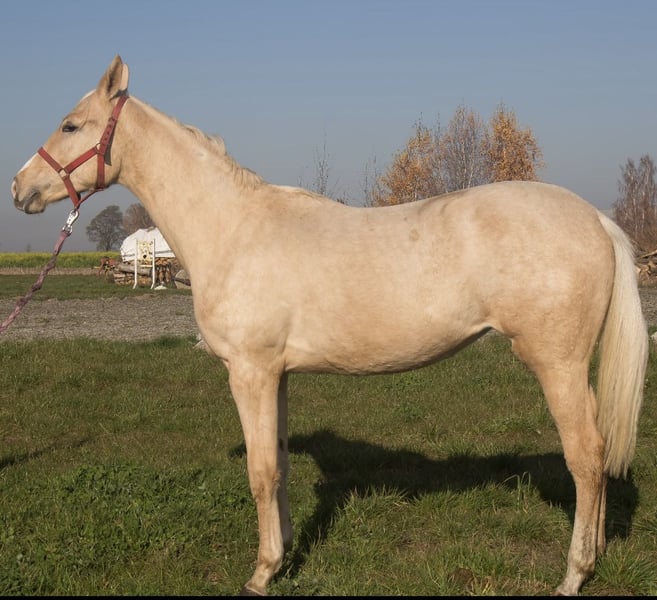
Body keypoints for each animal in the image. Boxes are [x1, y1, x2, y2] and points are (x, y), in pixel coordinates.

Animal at [10, 56, 648, 596]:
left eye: (70, 125)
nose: (19, 188)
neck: (233, 228)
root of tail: (593, 217)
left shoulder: (249, 372)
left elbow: (261, 471)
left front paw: (261, 573)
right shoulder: (278, 375)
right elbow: (282, 464)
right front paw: (286, 553)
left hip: (557, 365)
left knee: (586, 456)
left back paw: (573, 574)